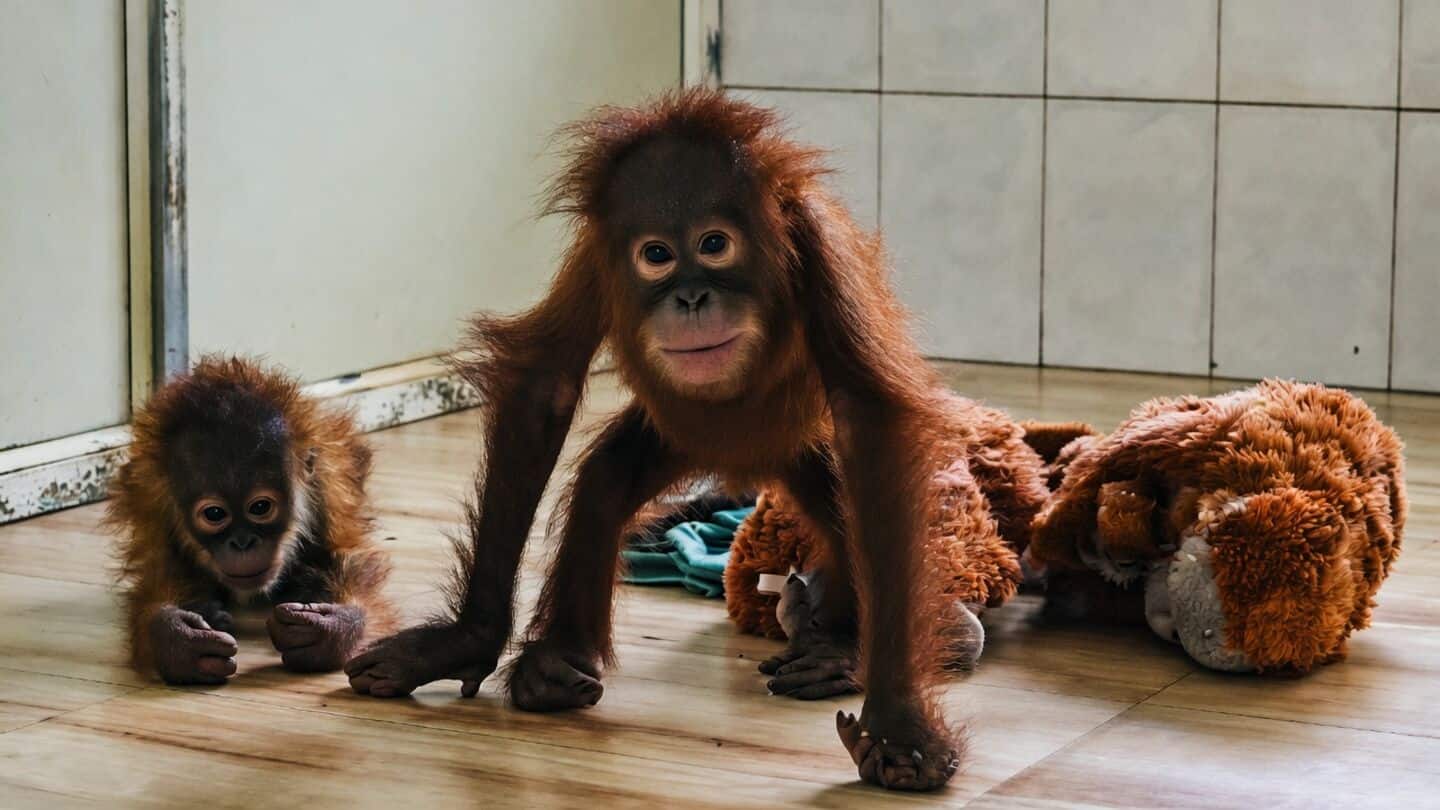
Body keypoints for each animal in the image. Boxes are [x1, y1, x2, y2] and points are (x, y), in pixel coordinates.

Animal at [108, 355, 395, 685]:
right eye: (215, 514)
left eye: (260, 507)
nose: (243, 542)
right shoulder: (153, 505)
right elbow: (160, 572)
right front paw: (175, 640)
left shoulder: (330, 490)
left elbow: (351, 559)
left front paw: (331, 629)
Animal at [345, 89, 988, 791]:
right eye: (656, 255)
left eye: (714, 244)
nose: (690, 297)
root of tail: (743, 462)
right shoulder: (597, 259)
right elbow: (546, 386)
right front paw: (467, 640)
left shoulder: (819, 249)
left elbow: (867, 417)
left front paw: (900, 731)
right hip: (674, 434)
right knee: (607, 480)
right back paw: (556, 667)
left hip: (797, 441)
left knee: (847, 494)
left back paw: (836, 647)